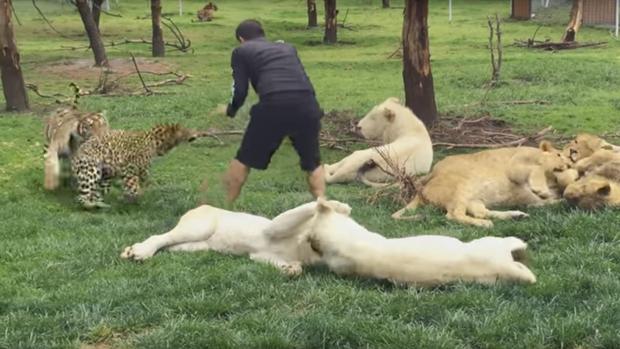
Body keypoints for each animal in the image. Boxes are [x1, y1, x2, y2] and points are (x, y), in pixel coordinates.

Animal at [72, 123, 208, 208]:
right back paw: (94, 205)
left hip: (106, 175)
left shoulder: (141, 170)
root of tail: (76, 154)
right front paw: (138, 198)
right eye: (186, 130)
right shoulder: (129, 169)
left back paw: (102, 203)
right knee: (82, 197)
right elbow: (135, 187)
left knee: (96, 193)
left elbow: (142, 182)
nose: (196, 134)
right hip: (91, 171)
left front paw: (130, 198)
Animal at [119, 200, 352, 276]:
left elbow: (284, 264)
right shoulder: (273, 227)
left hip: (196, 246)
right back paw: (139, 252)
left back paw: (132, 251)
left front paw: (291, 269)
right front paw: (338, 206)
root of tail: (199, 206)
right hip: (198, 229)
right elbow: (308, 207)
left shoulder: (258, 255)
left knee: (169, 245)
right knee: (161, 236)